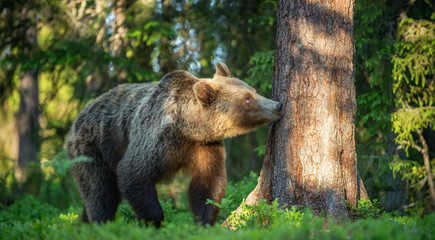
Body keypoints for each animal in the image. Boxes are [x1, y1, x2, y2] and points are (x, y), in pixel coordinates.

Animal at [64, 62, 282, 227]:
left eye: (252, 90)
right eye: (247, 99)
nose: (277, 105)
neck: (186, 127)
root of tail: (76, 120)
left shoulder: (204, 145)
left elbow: (208, 182)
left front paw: (204, 221)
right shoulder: (156, 140)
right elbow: (133, 172)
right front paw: (155, 222)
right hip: (93, 149)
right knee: (101, 192)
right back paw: (100, 224)